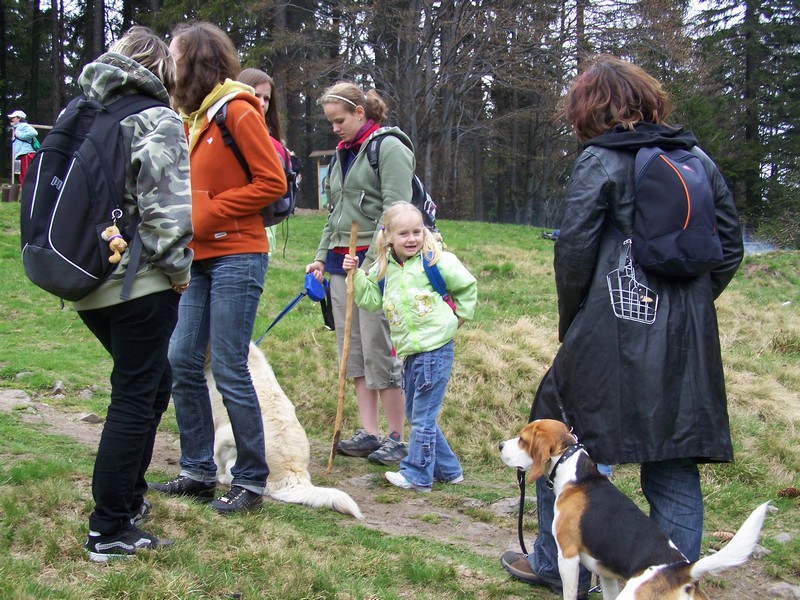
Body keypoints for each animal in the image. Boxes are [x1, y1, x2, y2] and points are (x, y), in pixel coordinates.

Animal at [500, 420, 768, 596]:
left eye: (523, 439)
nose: (501, 445)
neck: (577, 476)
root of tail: (683, 570)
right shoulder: (606, 573)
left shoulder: (567, 555)